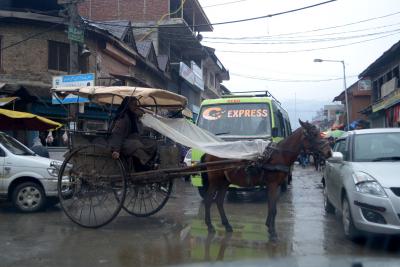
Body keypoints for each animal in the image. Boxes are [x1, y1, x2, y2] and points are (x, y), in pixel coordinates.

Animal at [200, 120, 332, 242]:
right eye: (314, 134)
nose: (329, 152)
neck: (280, 154)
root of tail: (208, 153)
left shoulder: (274, 186)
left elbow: (272, 207)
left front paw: (269, 227)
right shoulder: (272, 184)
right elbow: (273, 208)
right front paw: (273, 233)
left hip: (224, 182)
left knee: (219, 201)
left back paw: (227, 225)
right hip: (215, 181)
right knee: (208, 200)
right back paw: (210, 226)